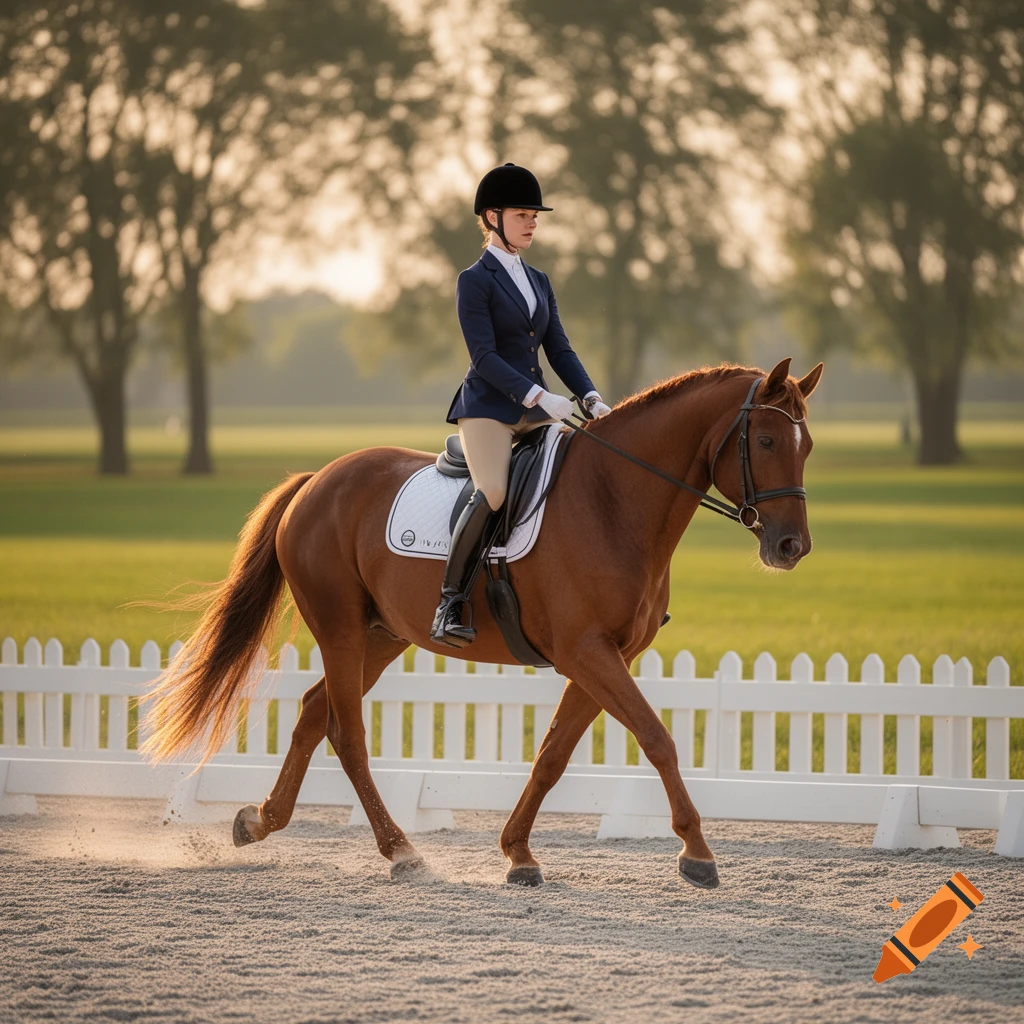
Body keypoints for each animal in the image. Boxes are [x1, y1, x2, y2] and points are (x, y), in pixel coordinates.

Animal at [143, 357, 823, 889]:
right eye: (766, 442)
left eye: (808, 447)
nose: (792, 547)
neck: (614, 500)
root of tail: (317, 482)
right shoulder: (587, 651)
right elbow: (657, 738)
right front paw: (698, 853)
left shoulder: (603, 656)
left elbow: (552, 754)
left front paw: (518, 854)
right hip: (339, 629)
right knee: (347, 731)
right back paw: (401, 851)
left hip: (381, 636)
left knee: (314, 714)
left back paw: (260, 821)